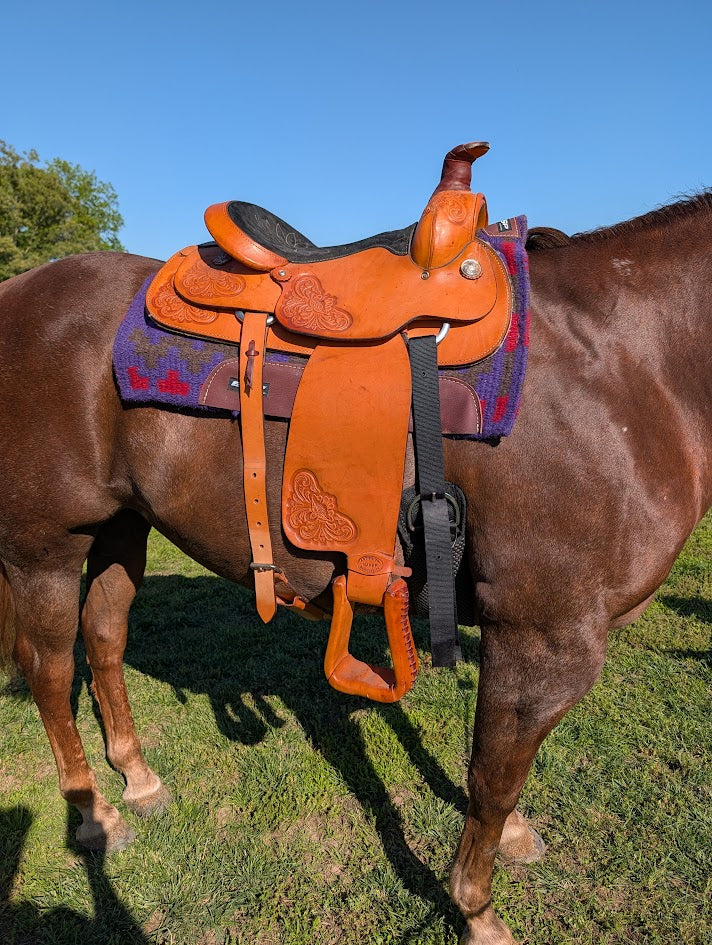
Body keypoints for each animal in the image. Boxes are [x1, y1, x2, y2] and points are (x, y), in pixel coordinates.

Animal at [0, 192, 710, 945]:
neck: (627, 368)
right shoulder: (547, 634)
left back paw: (138, 777)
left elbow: (496, 762)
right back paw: (92, 813)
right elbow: (495, 775)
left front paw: (508, 842)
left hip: (120, 526)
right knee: (49, 669)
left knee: (104, 638)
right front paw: (477, 909)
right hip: (44, 546)